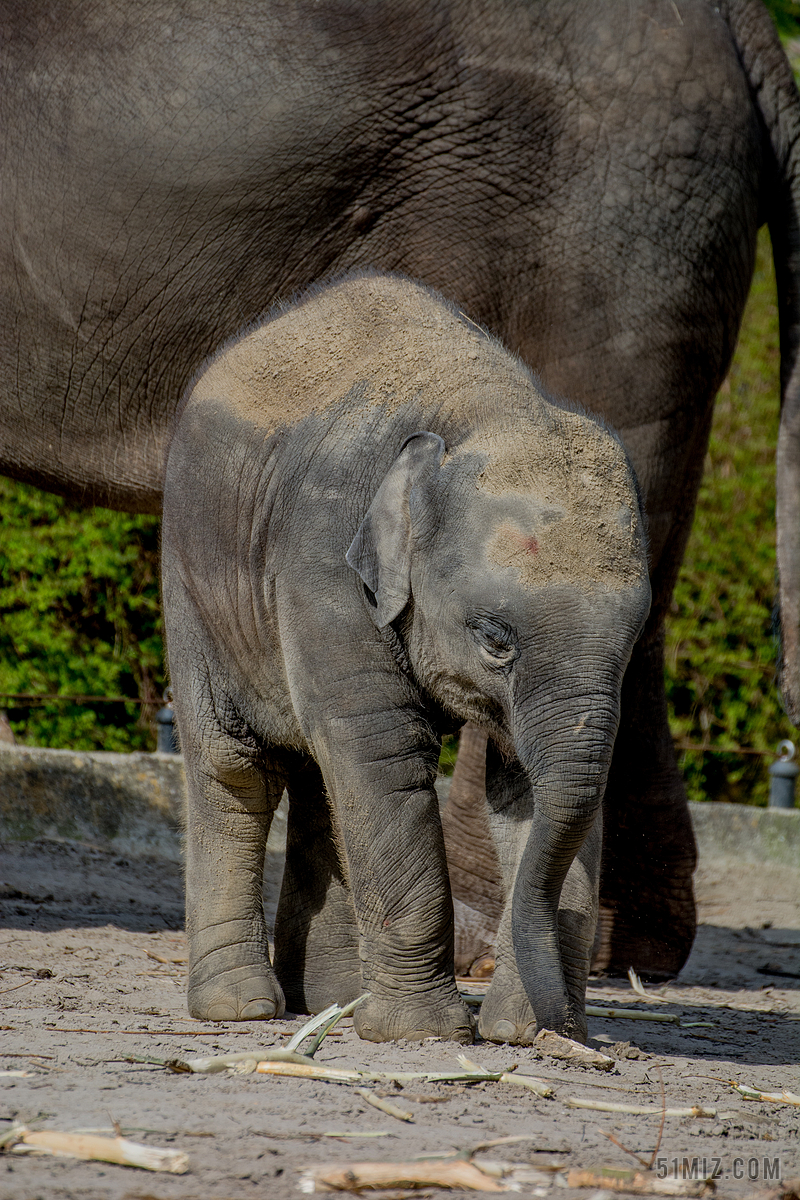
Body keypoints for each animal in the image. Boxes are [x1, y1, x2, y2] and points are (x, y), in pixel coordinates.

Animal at [163, 272, 652, 1041]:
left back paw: (330, 1002)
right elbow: (384, 754)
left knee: (322, 781)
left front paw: (518, 1032)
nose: (561, 1028)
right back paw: (242, 1009)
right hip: (193, 576)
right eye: (494, 639)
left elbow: (526, 786)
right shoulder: (324, 559)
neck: (484, 407)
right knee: (237, 770)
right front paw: (423, 1034)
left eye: (634, 643)